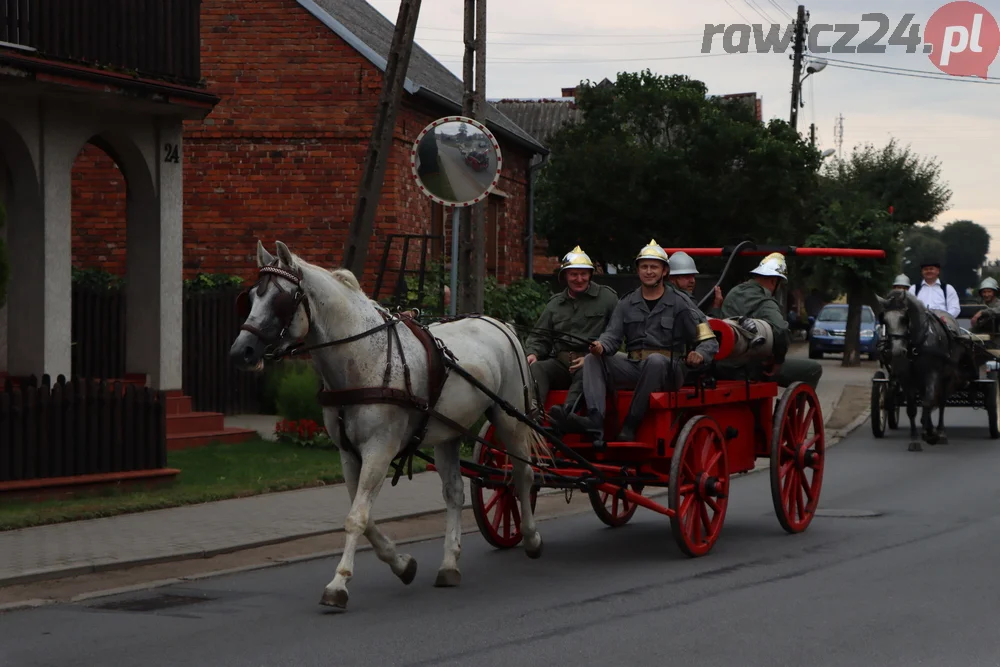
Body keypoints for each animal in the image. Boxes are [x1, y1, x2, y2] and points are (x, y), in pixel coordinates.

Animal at [229, 241, 544, 612]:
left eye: (281, 299)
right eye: (252, 297)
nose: (241, 351)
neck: (363, 357)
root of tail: (499, 323)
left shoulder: (379, 449)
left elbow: (357, 517)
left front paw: (338, 584)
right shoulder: (349, 454)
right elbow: (364, 517)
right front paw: (403, 564)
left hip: (510, 418)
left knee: (522, 476)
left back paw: (531, 537)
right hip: (449, 433)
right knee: (454, 492)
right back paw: (449, 564)